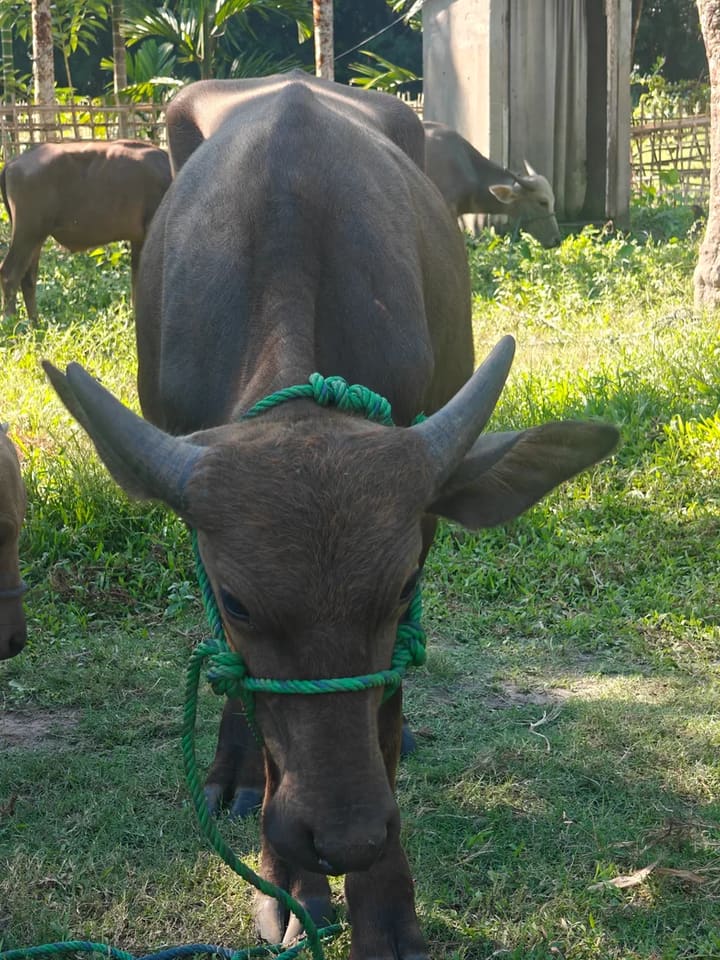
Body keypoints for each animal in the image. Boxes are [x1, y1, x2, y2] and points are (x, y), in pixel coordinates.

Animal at [0, 139, 171, 322]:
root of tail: (14, 162)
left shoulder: (138, 239)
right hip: (28, 233)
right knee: (9, 274)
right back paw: (11, 322)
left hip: (35, 238)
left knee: (28, 277)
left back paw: (35, 323)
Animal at [44, 72, 617, 959]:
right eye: (239, 601)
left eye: (403, 585)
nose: (345, 839)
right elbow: (251, 692)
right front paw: (294, 887)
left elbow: (382, 710)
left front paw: (386, 910)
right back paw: (233, 777)